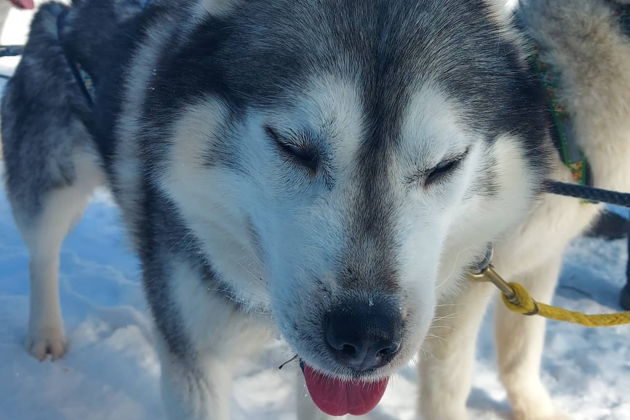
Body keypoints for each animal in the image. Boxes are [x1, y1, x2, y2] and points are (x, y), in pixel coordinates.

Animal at [3, 0, 556, 420]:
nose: (366, 336)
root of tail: (60, 9)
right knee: (43, 254)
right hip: (50, 187)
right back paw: (45, 331)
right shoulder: (194, 363)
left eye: (445, 165)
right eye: (292, 146)